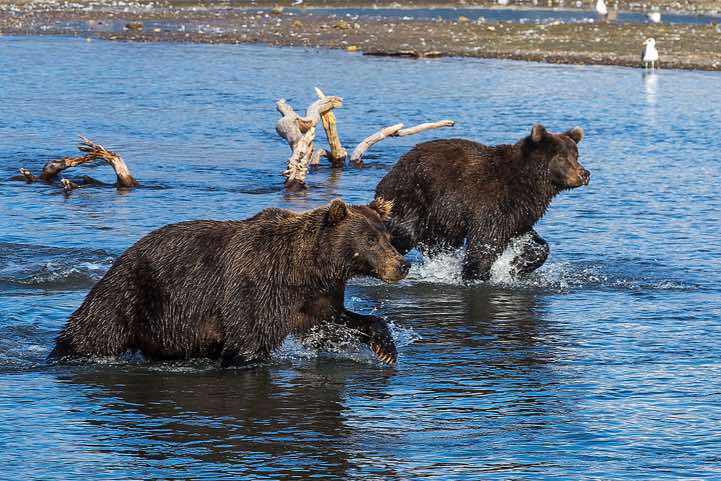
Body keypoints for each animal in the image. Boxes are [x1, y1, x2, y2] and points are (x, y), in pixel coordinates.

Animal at [48, 198, 409, 367]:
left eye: (388, 236)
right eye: (370, 240)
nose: (402, 265)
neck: (306, 269)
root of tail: (123, 255)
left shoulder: (317, 296)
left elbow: (334, 323)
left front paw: (386, 349)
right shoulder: (257, 288)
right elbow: (249, 340)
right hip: (132, 291)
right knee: (96, 330)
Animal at [374, 124, 590, 281]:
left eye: (576, 155)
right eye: (561, 157)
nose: (584, 173)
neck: (529, 183)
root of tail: (391, 171)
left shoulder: (520, 212)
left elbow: (533, 241)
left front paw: (516, 265)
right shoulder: (491, 201)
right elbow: (485, 241)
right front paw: (477, 274)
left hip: (441, 220)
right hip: (412, 196)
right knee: (403, 232)